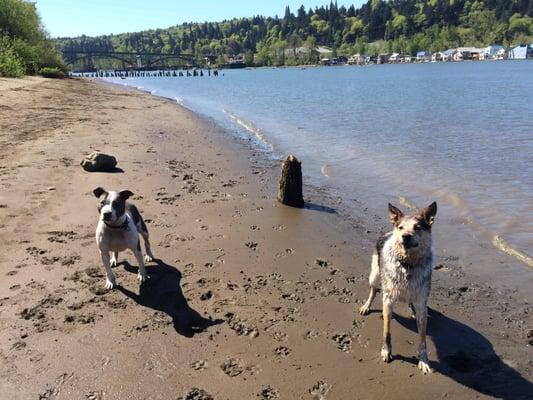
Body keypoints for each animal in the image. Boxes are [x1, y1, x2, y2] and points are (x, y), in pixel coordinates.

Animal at [358, 202, 436, 374]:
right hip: (375, 274)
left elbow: (422, 338)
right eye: (401, 227)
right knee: (373, 290)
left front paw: (424, 360)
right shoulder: (388, 300)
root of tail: (388, 232)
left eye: (417, 227)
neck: (408, 264)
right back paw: (366, 306)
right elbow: (387, 331)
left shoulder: (421, 302)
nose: (405, 236)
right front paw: (386, 351)